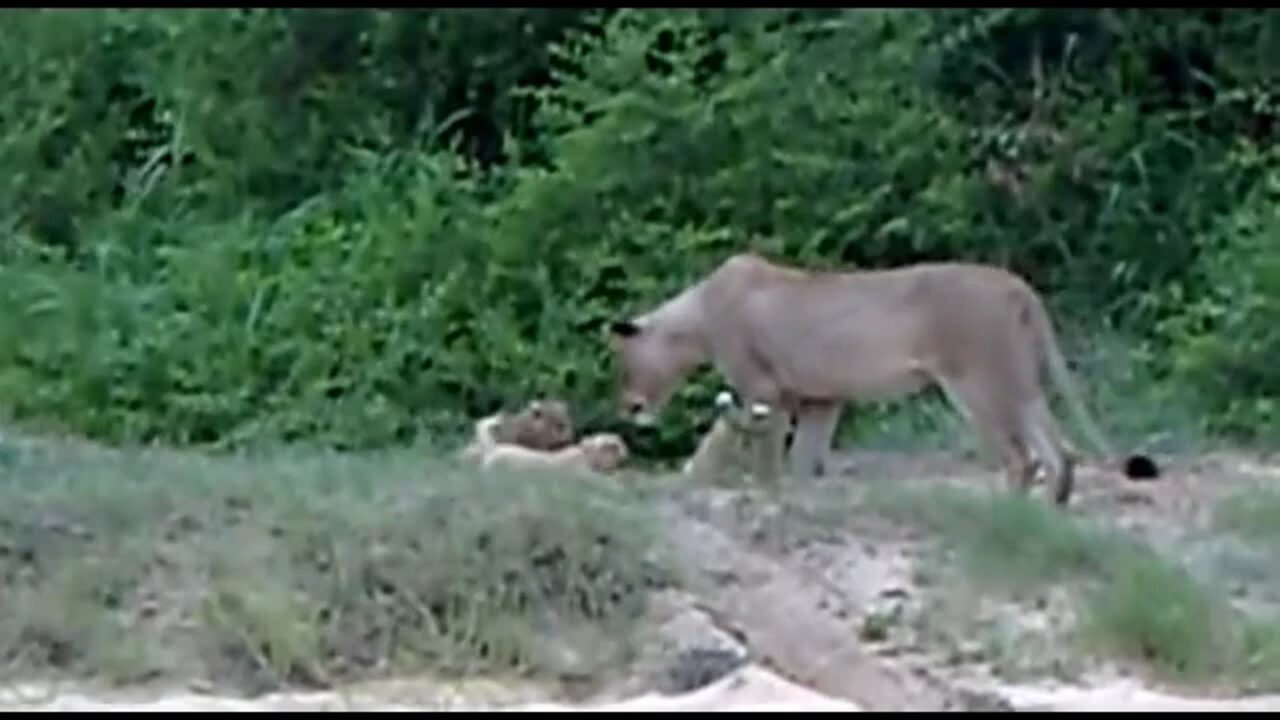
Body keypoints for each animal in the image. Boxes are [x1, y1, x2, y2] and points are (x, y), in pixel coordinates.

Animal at [606, 252, 1162, 504]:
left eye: (624, 364)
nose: (627, 405)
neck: (697, 314)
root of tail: (1015, 284)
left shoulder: (765, 390)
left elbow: (747, 445)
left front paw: (749, 488)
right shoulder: (821, 399)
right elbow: (803, 459)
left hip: (976, 382)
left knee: (1020, 457)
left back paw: (1008, 514)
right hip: (1019, 381)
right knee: (1057, 453)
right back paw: (1047, 515)